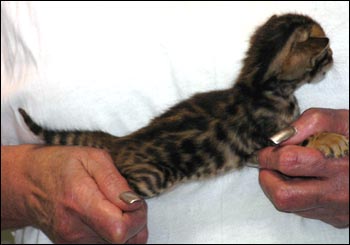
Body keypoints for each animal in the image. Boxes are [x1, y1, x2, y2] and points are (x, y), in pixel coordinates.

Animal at [18, 12, 348, 197]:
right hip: (153, 178)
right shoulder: (269, 139)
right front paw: (330, 138)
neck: (260, 86)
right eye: (325, 53)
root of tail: (123, 141)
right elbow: (303, 139)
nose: (333, 57)